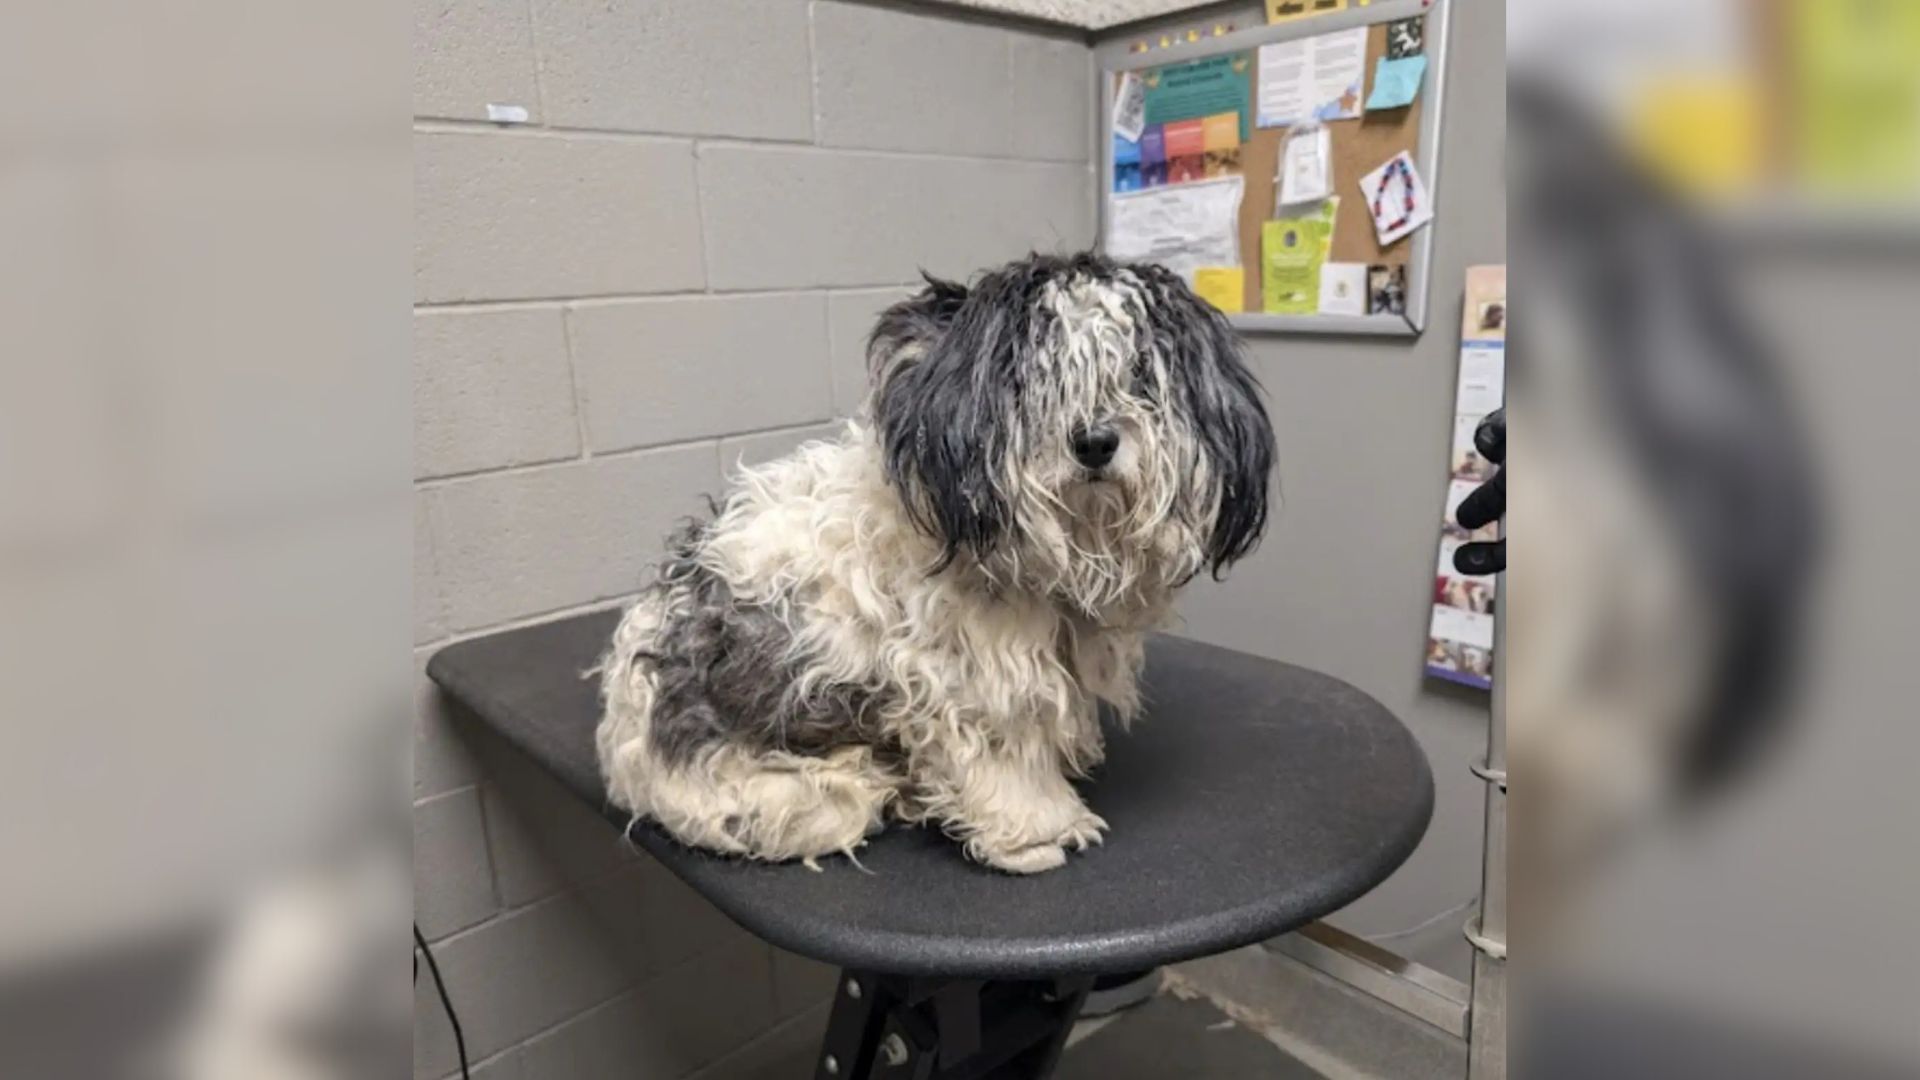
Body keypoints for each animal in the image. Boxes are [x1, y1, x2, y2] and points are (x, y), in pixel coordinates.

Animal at [591, 253, 1267, 876]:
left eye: (1140, 374)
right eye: (1033, 383)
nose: (1095, 441)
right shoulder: (967, 680)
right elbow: (1003, 759)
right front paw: (1038, 832)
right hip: (790, 799)